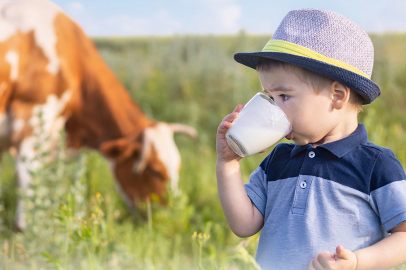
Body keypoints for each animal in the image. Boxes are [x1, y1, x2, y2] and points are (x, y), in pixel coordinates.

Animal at [0, 0, 197, 232]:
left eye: (178, 167)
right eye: (155, 171)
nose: (172, 219)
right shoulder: (35, 112)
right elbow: (28, 174)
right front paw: (26, 227)